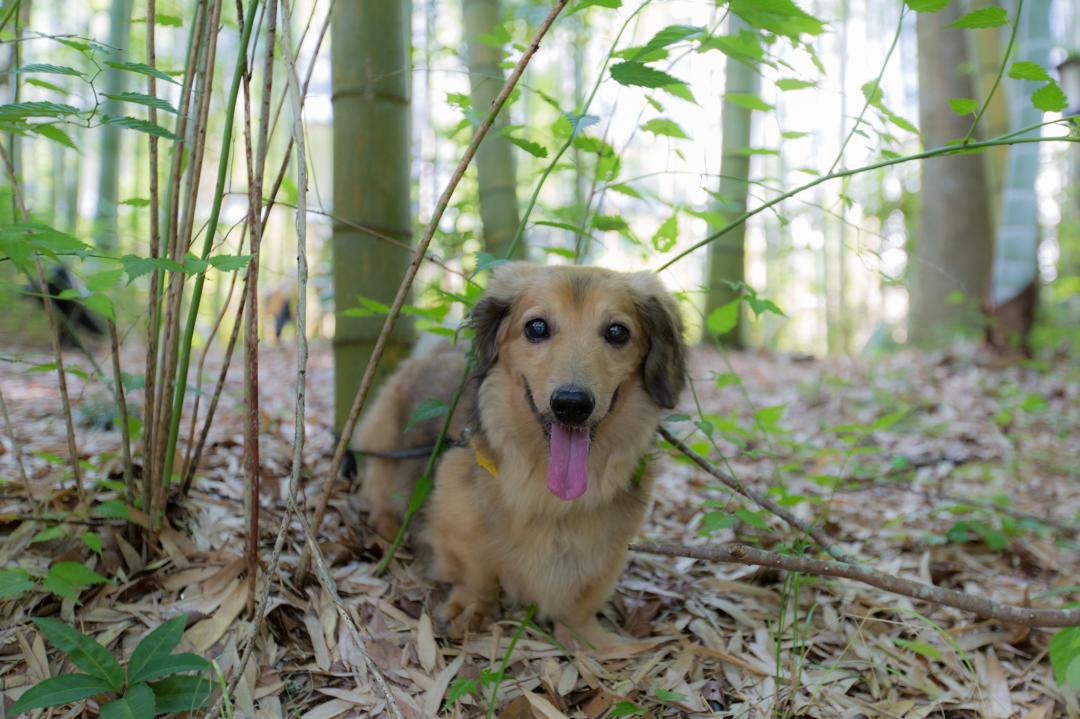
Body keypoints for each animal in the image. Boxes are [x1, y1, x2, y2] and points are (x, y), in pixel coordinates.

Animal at [358, 260, 686, 647]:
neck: (549, 498)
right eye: (537, 327)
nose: (571, 404)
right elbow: (476, 571)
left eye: (618, 332)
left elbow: (582, 601)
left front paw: (587, 638)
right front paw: (471, 607)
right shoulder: (457, 521)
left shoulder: (609, 553)